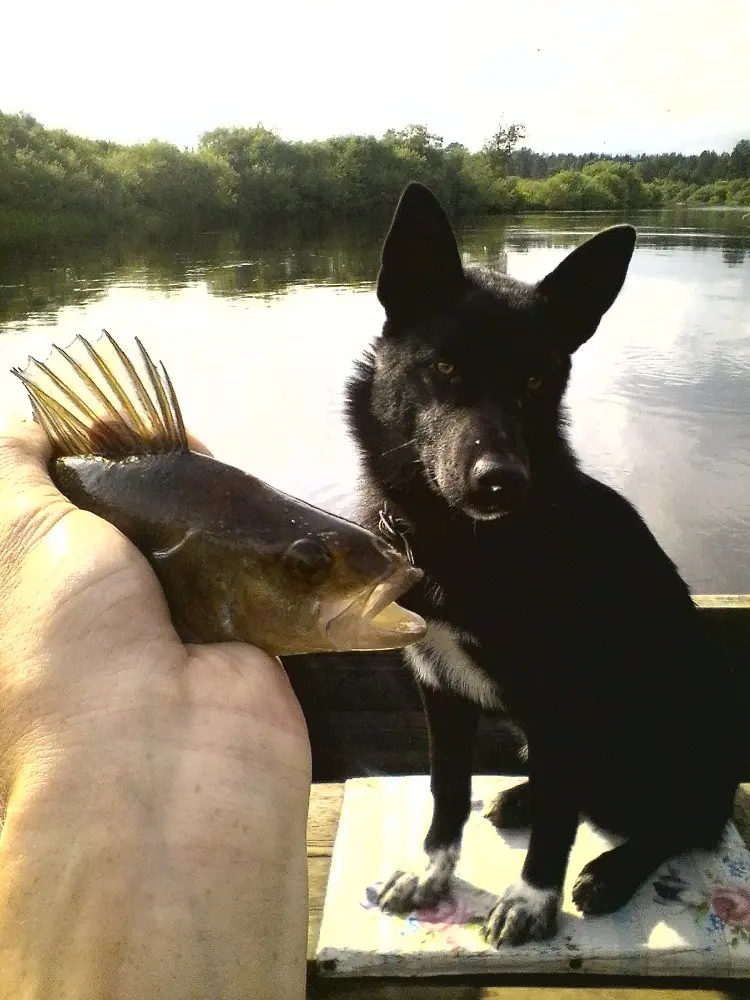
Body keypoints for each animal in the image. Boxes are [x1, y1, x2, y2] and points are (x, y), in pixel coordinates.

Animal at [346, 186, 748, 944]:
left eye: (535, 380)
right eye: (445, 368)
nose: (501, 482)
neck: (467, 543)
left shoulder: (568, 700)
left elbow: (562, 823)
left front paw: (533, 899)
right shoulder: (439, 690)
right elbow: (448, 793)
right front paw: (433, 874)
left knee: (687, 821)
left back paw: (613, 870)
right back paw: (522, 800)